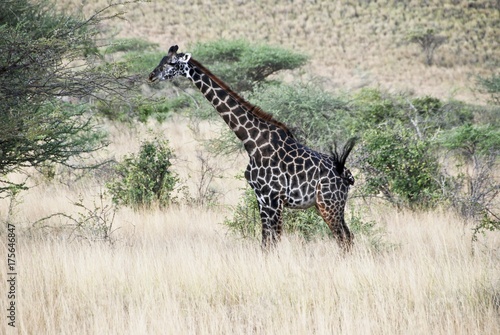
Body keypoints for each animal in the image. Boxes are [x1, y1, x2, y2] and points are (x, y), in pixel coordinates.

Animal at [148, 45, 356, 252]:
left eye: (172, 63)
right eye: (160, 60)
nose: (151, 75)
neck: (253, 141)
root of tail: (347, 174)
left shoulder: (274, 198)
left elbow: (274, 240)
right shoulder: (262, 199)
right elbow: (265, 242)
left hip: (329, 203)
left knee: (344, 238)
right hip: (328, 205)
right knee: (348, 237)